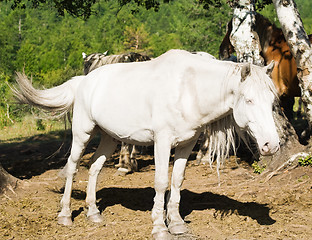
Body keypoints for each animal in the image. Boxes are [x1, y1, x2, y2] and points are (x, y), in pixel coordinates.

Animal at [13, 49, 280, 239]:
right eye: (249, 99)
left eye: (272, 101)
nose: (272, 145)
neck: (187, 89)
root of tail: (84, 81)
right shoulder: (162, 141)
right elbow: (161, 182)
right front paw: (160, 227)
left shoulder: (186, 144)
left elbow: (177, 181)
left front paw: (177, 223)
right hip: (83, 133)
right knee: (72, 168)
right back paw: (66, 214)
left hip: (109, 138)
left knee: (94, 168)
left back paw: (94, 213)